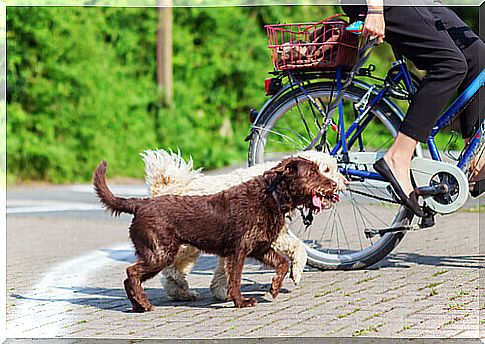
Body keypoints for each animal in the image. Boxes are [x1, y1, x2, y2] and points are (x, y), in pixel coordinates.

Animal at [94, 157, 336, 310]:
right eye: (313, 172)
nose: (334, 184)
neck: (271, 196)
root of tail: (140, 204)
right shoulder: (238, 252)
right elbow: (235, 280)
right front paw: (241, 302)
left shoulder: (261, 248)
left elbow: (283, 264)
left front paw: (275, 288)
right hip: (160, 254)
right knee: (131, 273)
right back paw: (144, 304)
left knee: (130, 277)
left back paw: (138, 306)